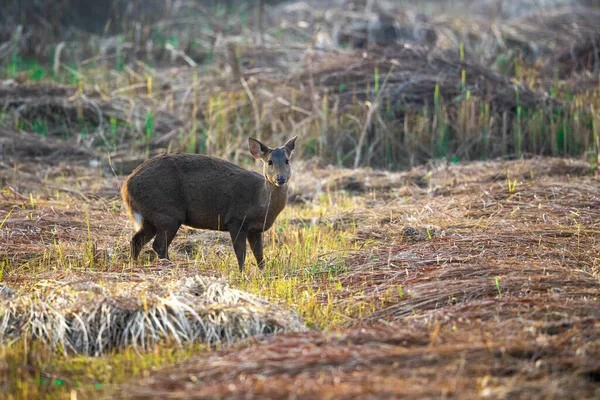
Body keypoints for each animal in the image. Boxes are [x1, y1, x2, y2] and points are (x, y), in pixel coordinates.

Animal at [122, 135, 298, 272]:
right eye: (269, 162)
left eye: (287, 161)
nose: (281, 178)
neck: (260, 202)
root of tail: (126, 186)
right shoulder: (236, 220)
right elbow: (241, 253)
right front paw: (242, 273)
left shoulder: (255, 229)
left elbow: (259, 255)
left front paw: (263, 272)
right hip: (167, 212)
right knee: (158, 245)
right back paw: (171, 266)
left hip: (151, 216)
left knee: (136, 240)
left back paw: (134, 265)